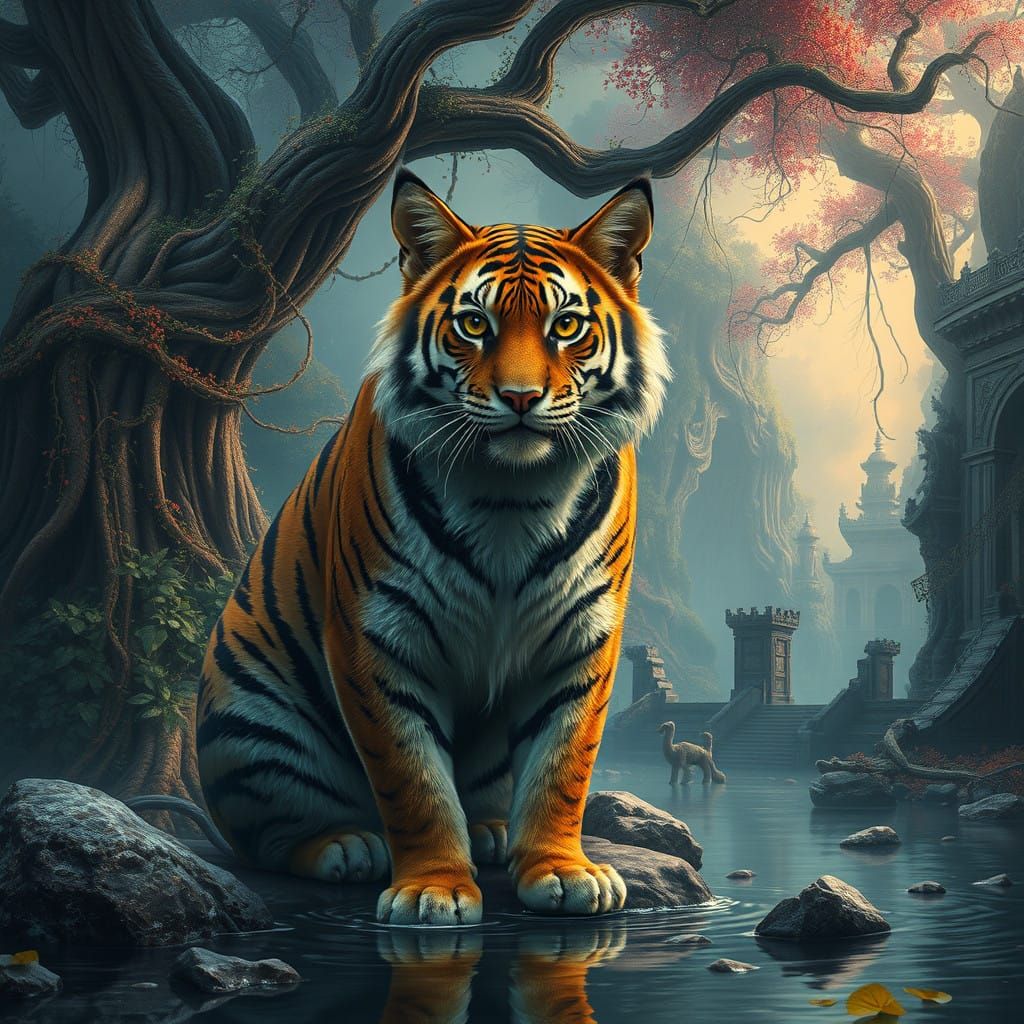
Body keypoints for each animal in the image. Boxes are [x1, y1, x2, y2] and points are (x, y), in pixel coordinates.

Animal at [196, 169, 669, 926]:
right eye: (475, 324)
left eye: (566, 326)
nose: (520, 398)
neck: (512, 496)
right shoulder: (378, 635)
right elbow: (411, 778)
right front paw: (434, 890)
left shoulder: (581, 636)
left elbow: (563, 764)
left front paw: (564, 873)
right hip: (253, 722)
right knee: (268, 838)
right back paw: (346, 846)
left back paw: (494, 832)